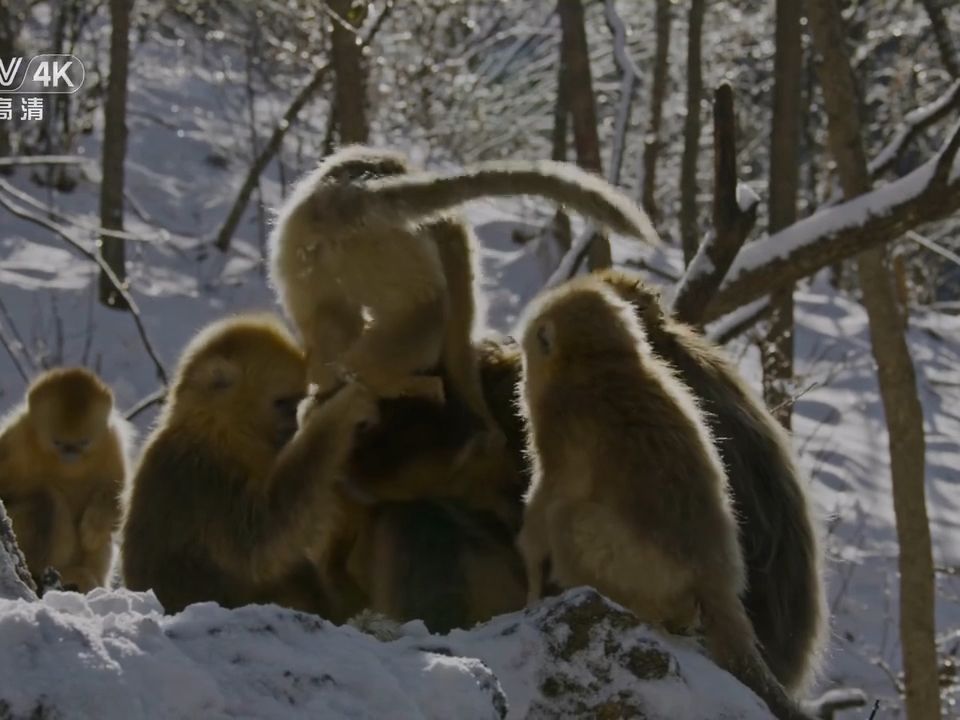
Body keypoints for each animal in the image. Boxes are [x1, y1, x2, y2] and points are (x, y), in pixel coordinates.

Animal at [0, 368, 130, 592]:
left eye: (83, 442)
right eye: (58, 443)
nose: (71, 455)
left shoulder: (112, 443)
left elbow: (117, 497)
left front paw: (92, 529)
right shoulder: (16, 439)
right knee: (46, 499)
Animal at [124, 316, 382, 612]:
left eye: (297, 400)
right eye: (282, 402)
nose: (294, 425)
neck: (218, 433)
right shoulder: (206, 475)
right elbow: (260, 542)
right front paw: (340, 414)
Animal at [270, 144, 660, 408]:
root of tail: (344, 198)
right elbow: (459, 347)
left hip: (301, 255)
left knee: (333, 323)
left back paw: (328, 383)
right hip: (381, 252)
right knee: (429, 309)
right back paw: (378, 379)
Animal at [516, 280, 808, 720]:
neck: (603, 361)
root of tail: (714, 579)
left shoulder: (559, 420)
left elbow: (550, 494)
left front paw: (531, 568)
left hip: (634, 566)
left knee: (568, 517)